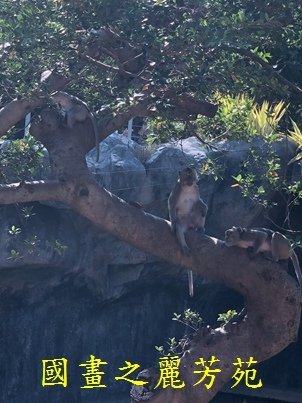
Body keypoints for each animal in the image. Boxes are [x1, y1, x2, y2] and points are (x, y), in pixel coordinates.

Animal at [168, 166, 208, 298]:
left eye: (192, 176)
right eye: (187, 176)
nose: (190, 181)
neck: (187, 188)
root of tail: (190, 226)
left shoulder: (196, 188)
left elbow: (198, 201)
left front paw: (204, 207)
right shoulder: (176, 189)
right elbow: (171, 204)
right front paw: (172, 225)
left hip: (193, 220)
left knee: (197, 208)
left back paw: (200, 228)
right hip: (183, 221)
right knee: (180, 228)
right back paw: (184, 246)